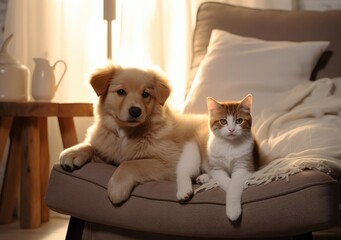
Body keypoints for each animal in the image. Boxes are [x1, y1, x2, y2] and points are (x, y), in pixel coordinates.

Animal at [59, 65, 206, 204]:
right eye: (121, 92)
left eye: (145, 94)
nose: (135, 111)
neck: (126, 134)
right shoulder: (109, 150)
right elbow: (92, 147)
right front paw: (73, 153)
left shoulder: (169, 161)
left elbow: (131, 163)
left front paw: (117, 187)